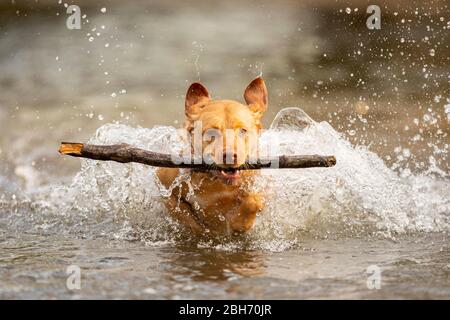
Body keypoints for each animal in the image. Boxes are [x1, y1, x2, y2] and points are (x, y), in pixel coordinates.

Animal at [156, 77, 268, 235]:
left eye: (243, 131)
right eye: (211, 133)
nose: (230, 156)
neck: (218, 184)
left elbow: (254, 200)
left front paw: (238, 223)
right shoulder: (162, 181)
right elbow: (181, 211)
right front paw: (200, 229)